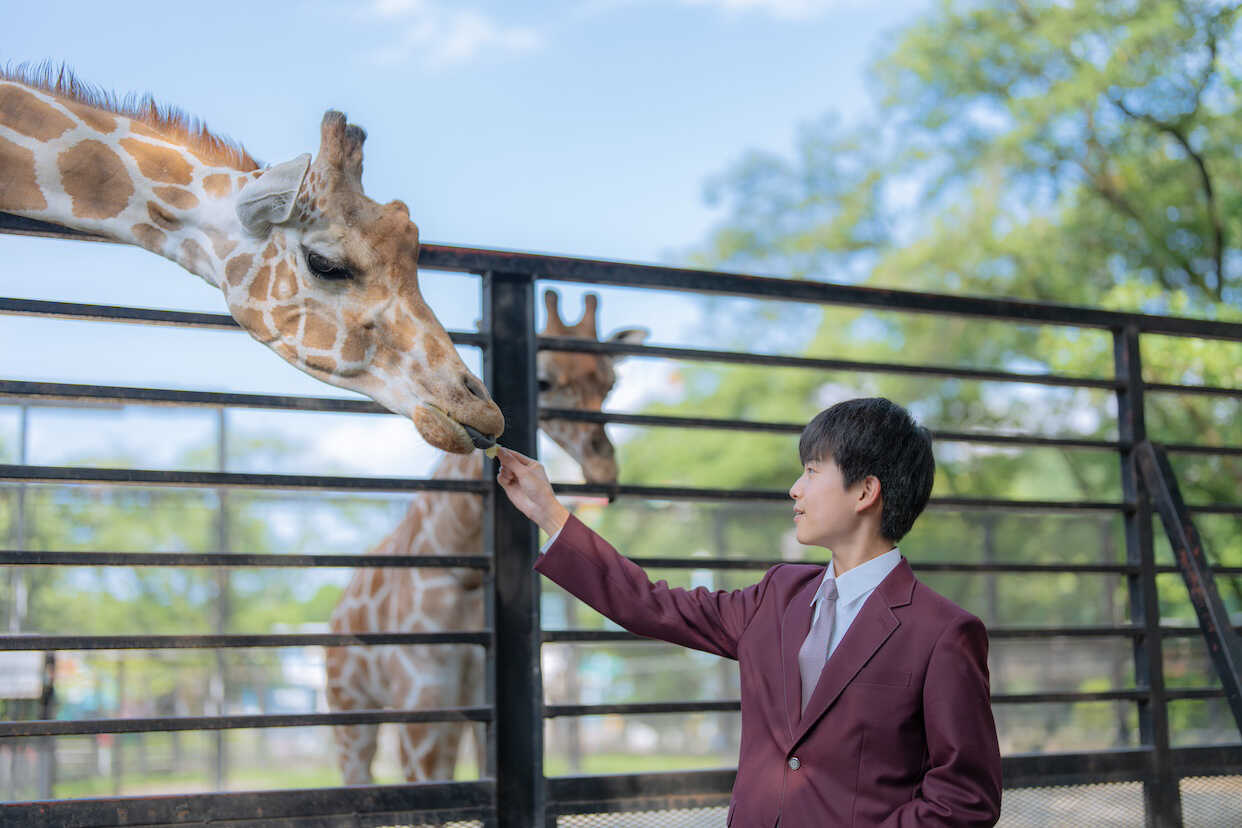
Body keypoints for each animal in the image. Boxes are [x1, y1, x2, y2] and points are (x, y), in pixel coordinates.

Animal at [325, 290, 645, 784]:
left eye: (610, 383)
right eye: (543, 381)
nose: (604, 472)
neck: (459, 561)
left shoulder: (477, 705)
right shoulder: (422, 702)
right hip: (349, 710)